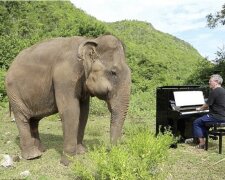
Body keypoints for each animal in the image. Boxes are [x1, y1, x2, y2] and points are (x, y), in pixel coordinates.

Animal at [4, 34, 132, 165]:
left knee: (34, 120)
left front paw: (81, 152)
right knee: (22, 118)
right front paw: (68, 162)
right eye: (113, 72)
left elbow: (84, 113)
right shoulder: (65, 77)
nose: (109, 150)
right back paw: (33, 156)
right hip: (14, 93)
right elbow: (71, 111)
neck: (90, 40)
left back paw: (41, 150)